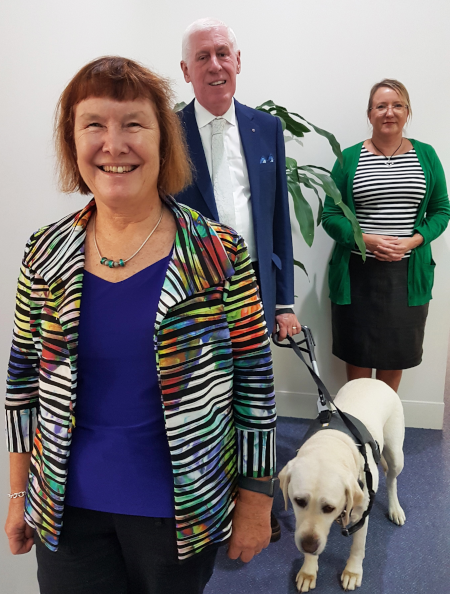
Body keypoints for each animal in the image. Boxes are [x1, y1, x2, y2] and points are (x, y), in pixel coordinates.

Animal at [280, 376, 406, 588]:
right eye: (299, 501)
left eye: (329, 508)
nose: (308, 546)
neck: (330, 445)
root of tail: (373, 379)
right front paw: (308, 570)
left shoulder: (362, 514)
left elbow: (357, 546)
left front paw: (352, 572)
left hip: (396, 455)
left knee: (392, 480)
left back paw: (395, 508)